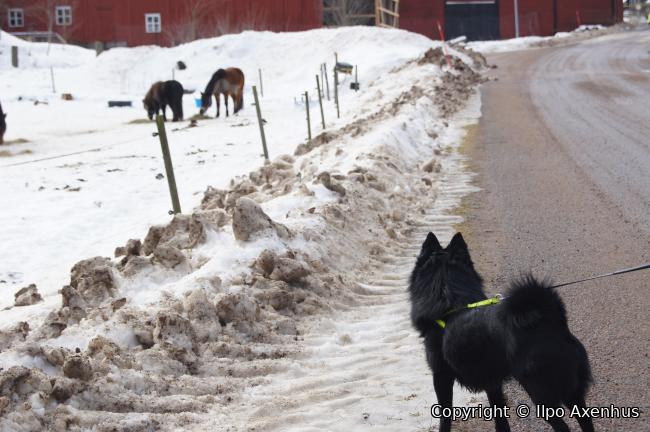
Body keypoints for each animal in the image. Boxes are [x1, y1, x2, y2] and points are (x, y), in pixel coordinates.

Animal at [409, 232, 594, 432]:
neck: (449, 301)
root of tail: (550, 322)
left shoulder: (441, 376)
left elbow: (445, 416)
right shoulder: (492, 382)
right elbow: (500, 415)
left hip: (540, 391)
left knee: (562, 426)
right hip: (572, 392)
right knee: (585, 420)